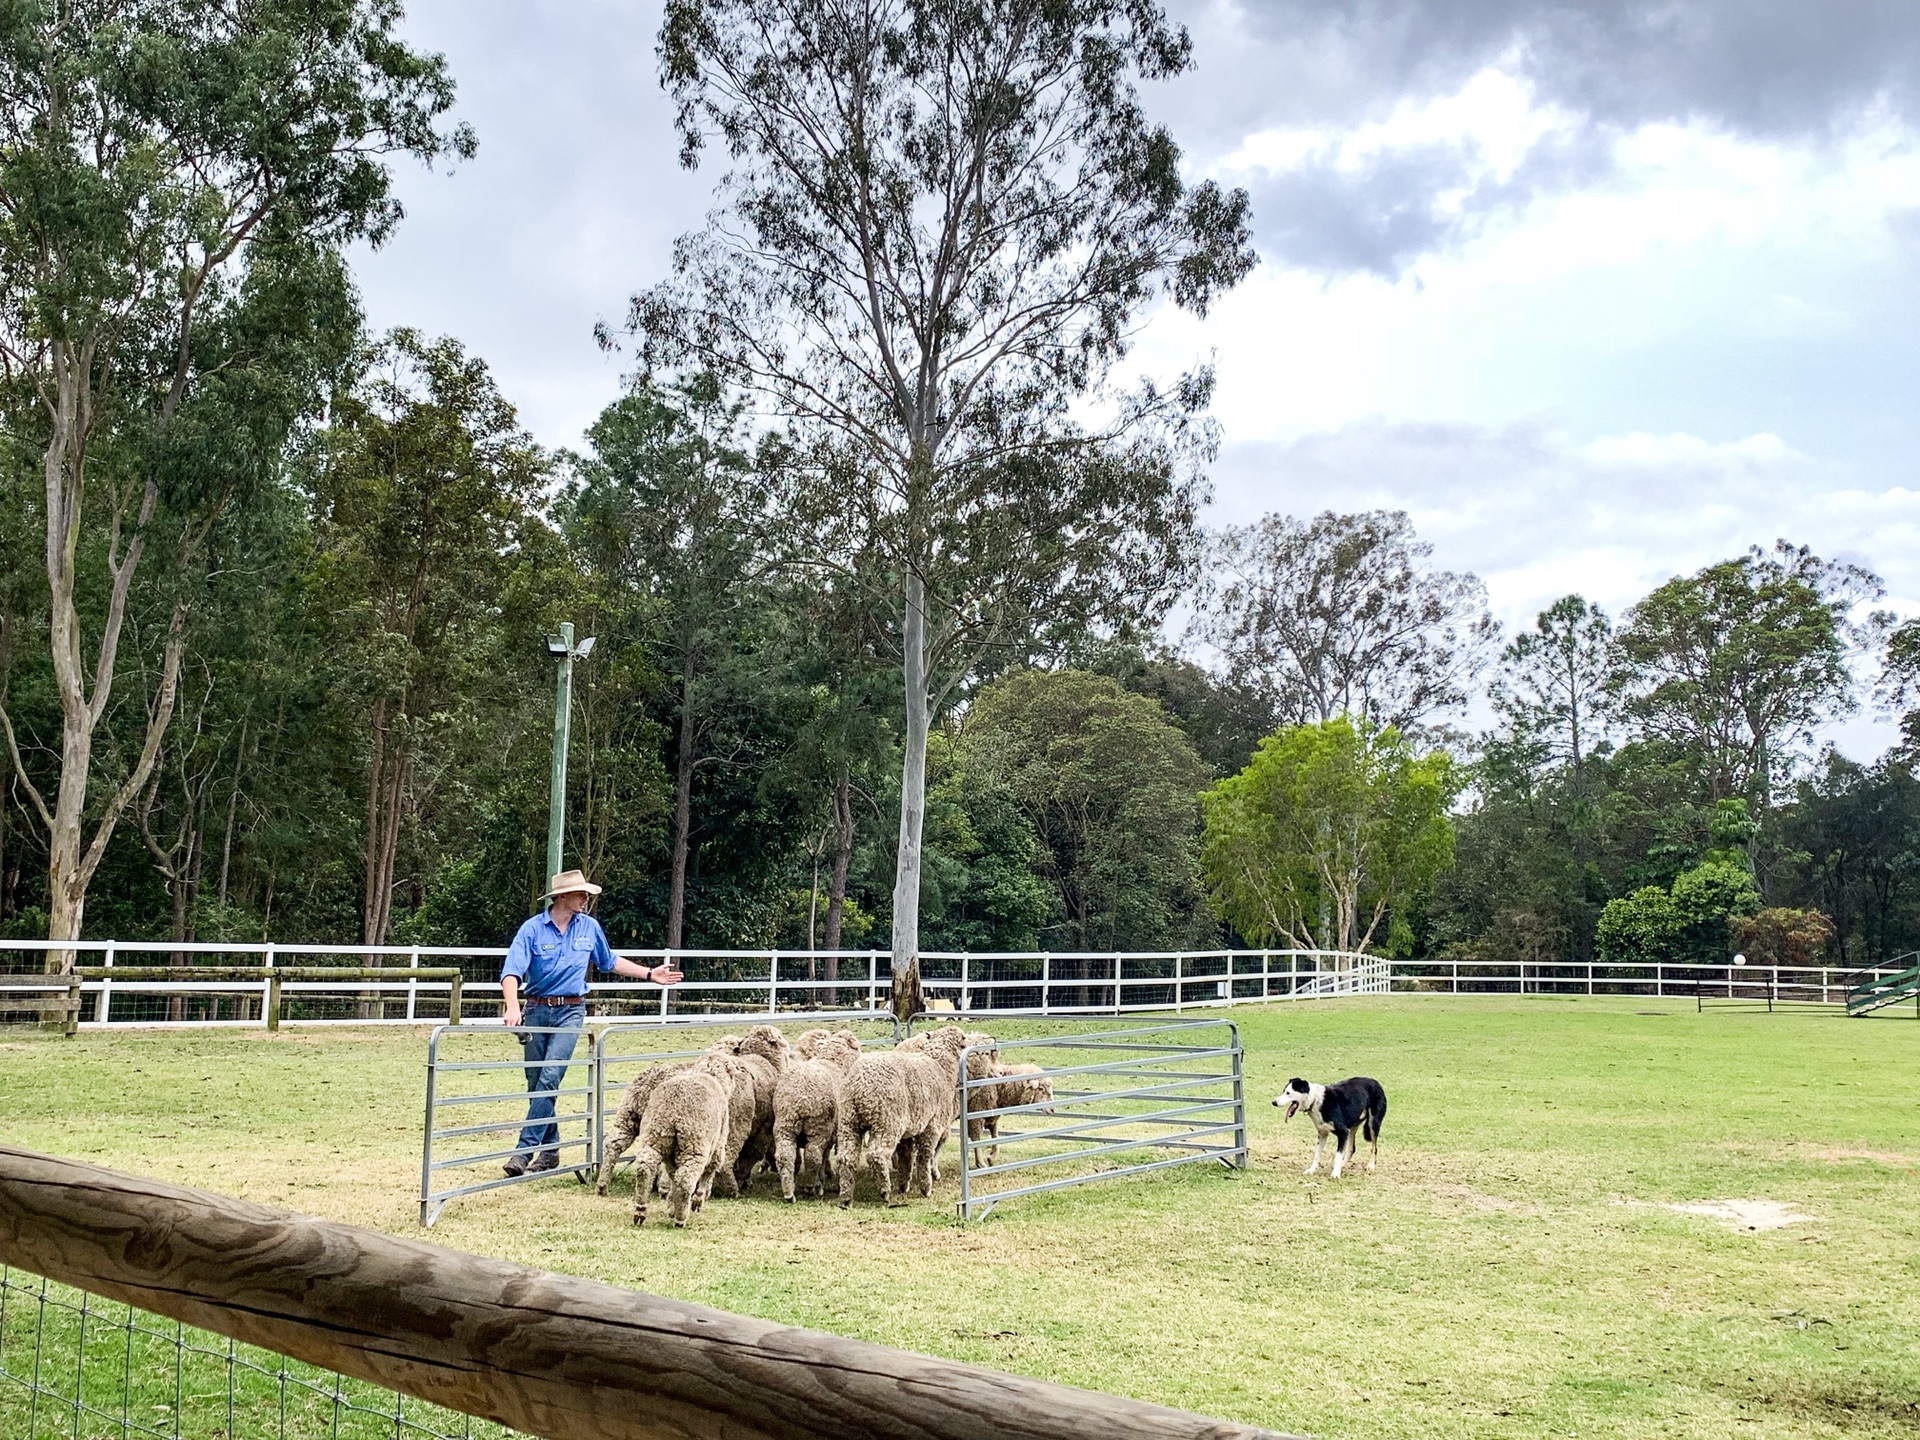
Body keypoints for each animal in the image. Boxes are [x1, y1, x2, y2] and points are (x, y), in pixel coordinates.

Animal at [771, 1029, 864, 1198]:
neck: (834, 1062)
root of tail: (800, 1099)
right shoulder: (832, 1133)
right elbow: (824, 1157)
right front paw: (823, 1179)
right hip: (818, 1127)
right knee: (812, 1156)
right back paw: (812, 1187)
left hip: (784, 1125)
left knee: (784, 1155)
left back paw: (789, 1192)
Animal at [837, 1021, 975, 1213]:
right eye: (963, 1037)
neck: (940, 1066)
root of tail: (859, 1085)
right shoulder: (932, 1125)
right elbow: (924, 1156)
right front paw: (926, 1187)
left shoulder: (909, 1131)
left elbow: (906, 1157)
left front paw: (904, 1185)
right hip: (886, 1122)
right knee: (876, 1155)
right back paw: (884, 1191)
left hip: (848, 1121)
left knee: (846, 1157)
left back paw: (846, 1197)